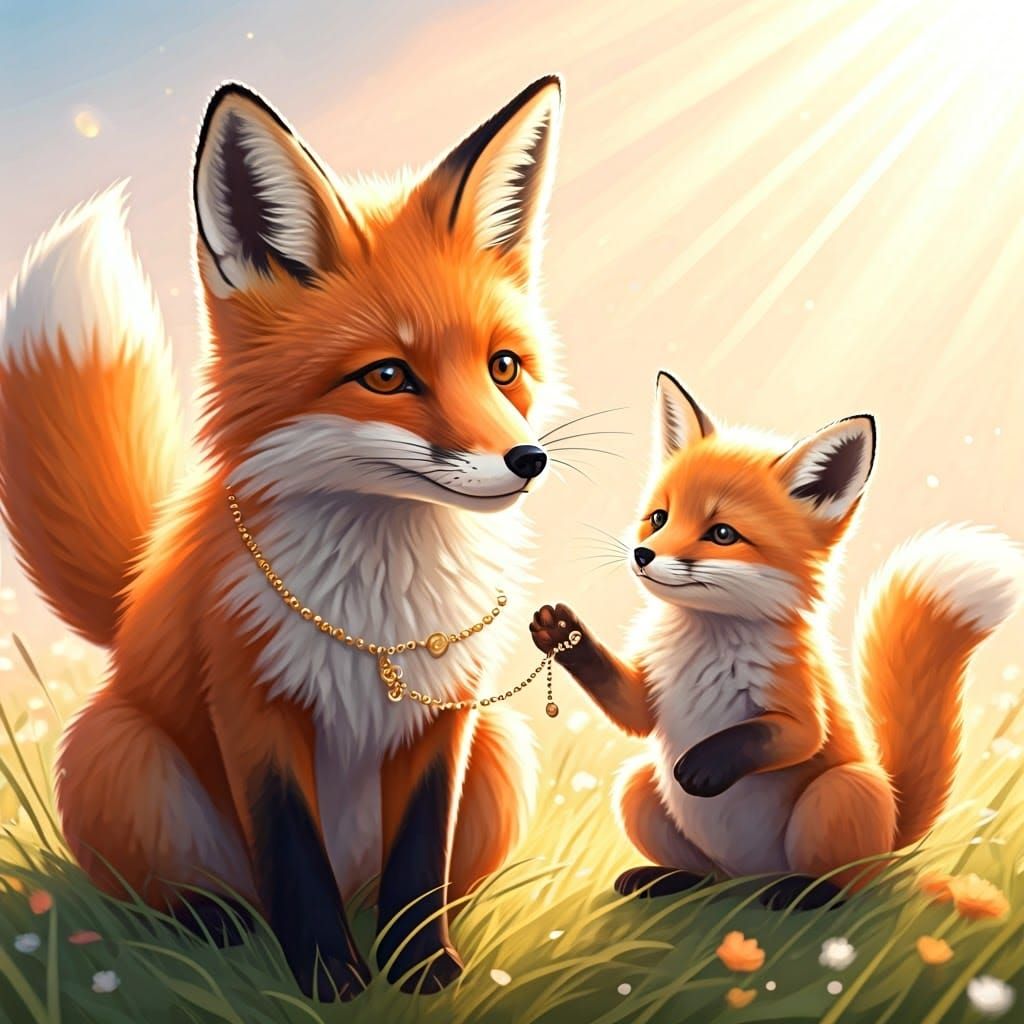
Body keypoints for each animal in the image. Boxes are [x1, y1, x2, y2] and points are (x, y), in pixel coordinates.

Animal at [0, 76, 569, 999]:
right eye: (387, 375)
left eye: (503, 367)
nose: (529, 461)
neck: (378, 604)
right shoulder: (251, 707)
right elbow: (292, 855)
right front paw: (328, 981)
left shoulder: (445, 719)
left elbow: (421, 864)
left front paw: (419, 970)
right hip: (120, 755)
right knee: (191, 898)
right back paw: (220, 934)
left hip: (502, 751)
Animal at [532, 372, 1021, 909]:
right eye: (659, 518)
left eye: (723, 534)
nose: (642, 554)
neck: (708, 641)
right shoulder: (652, 692)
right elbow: (626, 707)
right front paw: (562, 634)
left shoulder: (799, 705)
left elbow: (777, 735)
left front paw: (704, 766)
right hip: (638, 787)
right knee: (704, 875)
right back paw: (667, 879)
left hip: (840, 791)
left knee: (845, 887)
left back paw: (803, 892)